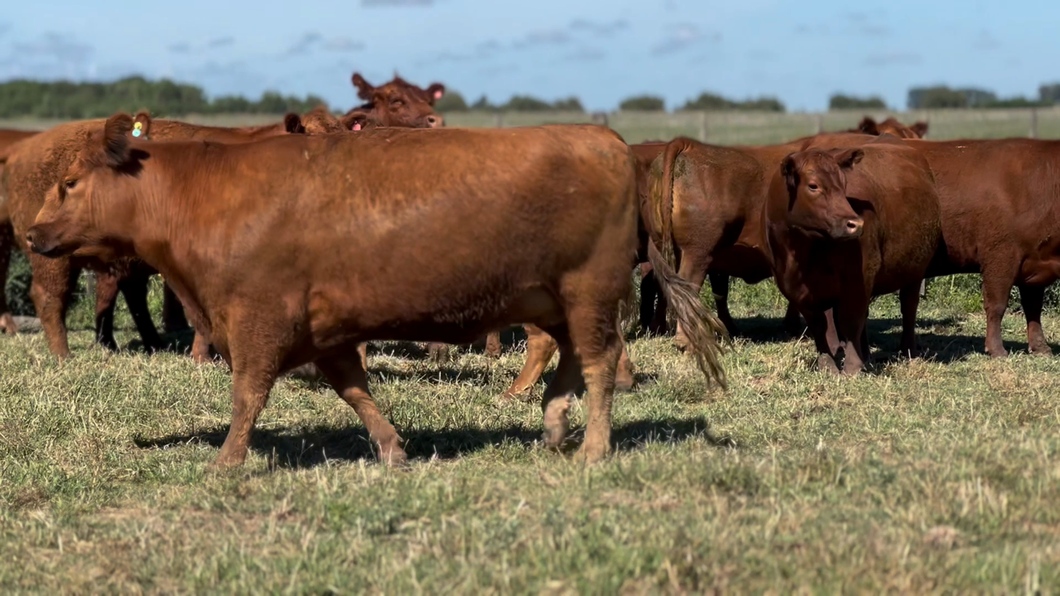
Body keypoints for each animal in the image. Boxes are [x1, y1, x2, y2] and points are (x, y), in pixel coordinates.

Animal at [24, 113, 725, 468]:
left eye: (70, 183)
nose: (31, 232)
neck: (203, 196)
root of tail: (606, 139)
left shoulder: (258, 320)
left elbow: (248, 396)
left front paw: (226, 462)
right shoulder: (324, 330)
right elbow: (355, 390)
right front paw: (392, 449)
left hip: (588, 290)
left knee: (601, 364)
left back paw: (593, 449)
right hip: (554, 299)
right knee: (572, 358)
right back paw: (552, 427)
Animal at [763, 139, 945, 371]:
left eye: (843, 184)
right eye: (813, 185)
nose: (855, 224)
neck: (802, 251)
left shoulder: (859, 277)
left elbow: (851, 321)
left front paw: (852, 367)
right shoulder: (793, 287)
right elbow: (819, 325)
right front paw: (828, 365)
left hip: (914, 270)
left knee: (909, 307)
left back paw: (907, 350)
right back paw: (867, 355)